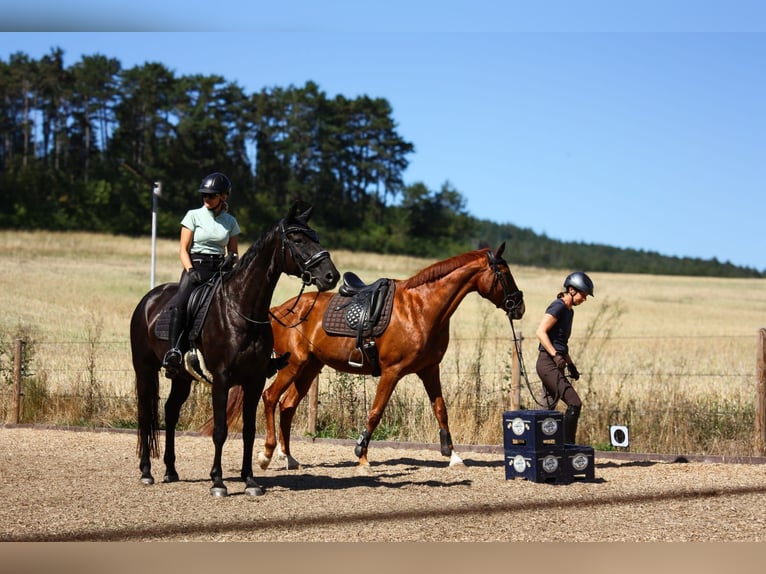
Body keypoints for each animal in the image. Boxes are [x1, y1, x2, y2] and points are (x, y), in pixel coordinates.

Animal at [130, 202, 339, 496]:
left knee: (170, 412)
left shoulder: (254, 380)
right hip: (145, 369)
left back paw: (171, 470)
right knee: (145, 413)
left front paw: (250, 480)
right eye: (298, 240)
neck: (241, 310)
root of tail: (147, 300)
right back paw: (146, 472)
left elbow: (249, 431)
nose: (331, 276)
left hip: (181, 377)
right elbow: (220, 430)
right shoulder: (222, 379)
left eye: (316, 237)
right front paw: (218, 482)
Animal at [211, 243, 524, 471]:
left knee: (287, 406)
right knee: (270, 398)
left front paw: (453, 456)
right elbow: (375, 412)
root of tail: (278, 310)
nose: (518, 306)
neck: (421, 309)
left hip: (310, 367)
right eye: (505, 273)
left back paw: (288, 457)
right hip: (293, 365)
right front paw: (361, 454)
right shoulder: (392, 372)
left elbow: (440, 410)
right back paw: (266, 455)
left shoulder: (429, 369)